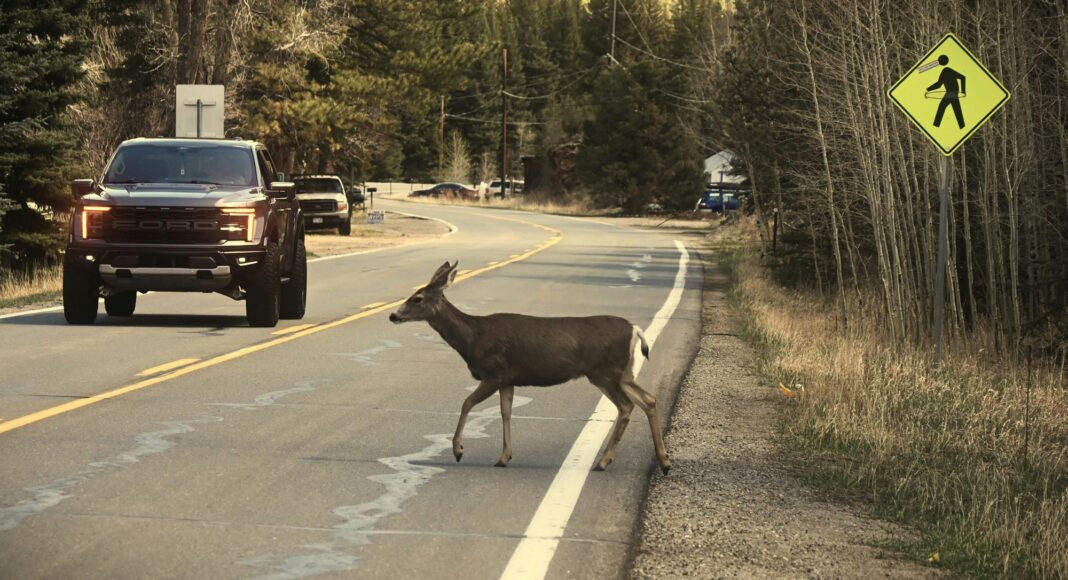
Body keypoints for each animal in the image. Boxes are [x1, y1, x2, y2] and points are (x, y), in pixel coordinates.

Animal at [388, 261, 671, 474]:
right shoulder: (508, 380)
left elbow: (466, 403)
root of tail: (635, 329)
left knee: (627, 405)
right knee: (649, 399)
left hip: (604, 372)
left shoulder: (494, 372)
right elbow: (505, 412)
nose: (393, 315)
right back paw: (664, 462)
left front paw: (458, 450)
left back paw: (604, 461)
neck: (472, 338)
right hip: (622, 373)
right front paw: (504, 457)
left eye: (417, 298)